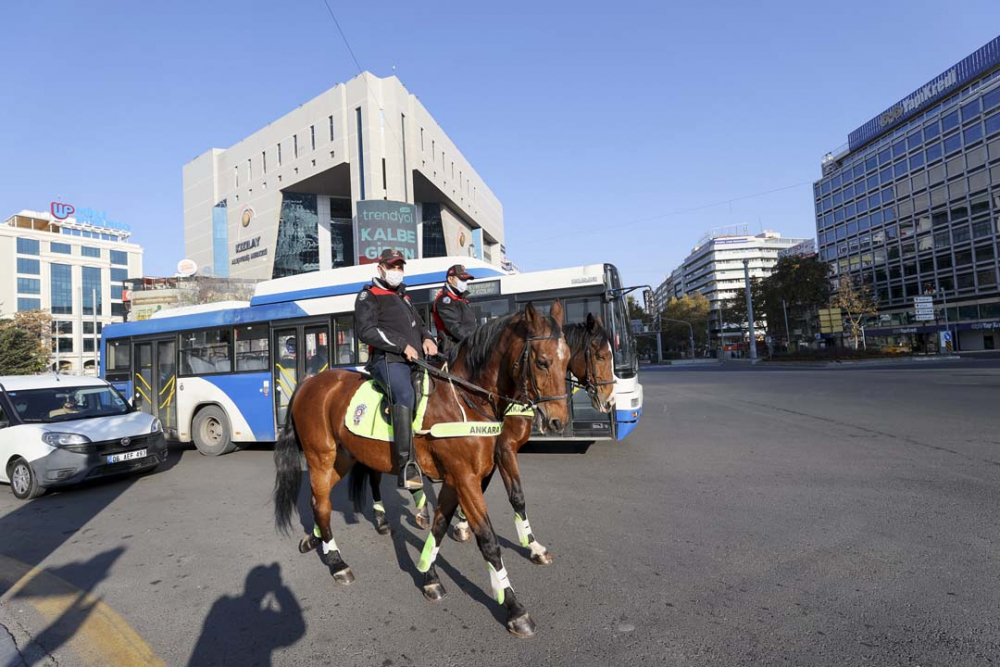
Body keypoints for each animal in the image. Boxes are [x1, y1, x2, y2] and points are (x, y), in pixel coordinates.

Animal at [274, 302, 572, 636]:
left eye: (568, 360)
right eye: (543, 361)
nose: (559, 421)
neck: (464, 399)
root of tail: (310, 381)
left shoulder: (458, 480)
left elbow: (440, 526)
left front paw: (429, 576)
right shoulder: (466, 478)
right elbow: (488, 541)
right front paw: (513, 607)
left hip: (343, 458)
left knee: (318, 500)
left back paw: (317, 541)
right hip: (321, 457)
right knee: (323, 504)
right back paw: (338, 562)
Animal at [352, 314, 616, 564]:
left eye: (566, 359)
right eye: (601, 356)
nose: (610, 400)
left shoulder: (490, 455)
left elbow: (490, 489)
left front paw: (464, 523)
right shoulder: (503, 450)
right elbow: (515, 496)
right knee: (374, 475)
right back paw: (382, 519)